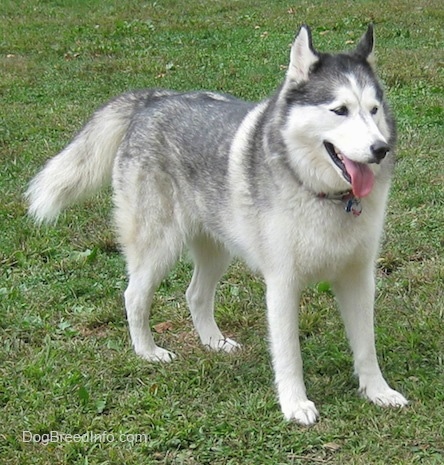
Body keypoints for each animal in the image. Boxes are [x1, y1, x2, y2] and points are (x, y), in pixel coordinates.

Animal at [26, 25, 406, 424]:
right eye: (340, 110)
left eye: (373, 110)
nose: (380, 149)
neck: (325, 196)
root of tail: (155, 99)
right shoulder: (282, 284)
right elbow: (289, 355)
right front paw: (294, 403)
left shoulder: (358, 277)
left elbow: (366, 347)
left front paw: (377, 391)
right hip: (159, 247)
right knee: (134, 296)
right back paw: (148, 351)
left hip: (217, 249)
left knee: (195, 294)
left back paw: (214, 341)